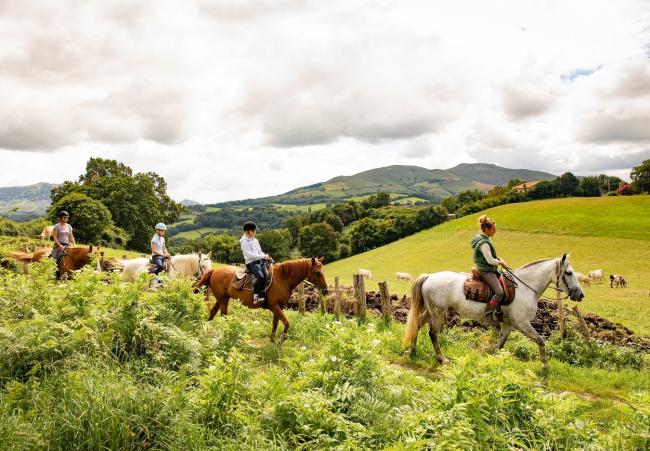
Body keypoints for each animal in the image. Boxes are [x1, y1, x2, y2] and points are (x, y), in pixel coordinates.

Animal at [190, 256, 326, 340]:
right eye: (317, 272)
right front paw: (283, 339)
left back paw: (208, 329)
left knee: (212, 312)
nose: (325, 290)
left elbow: (276, 323)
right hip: (223, 300)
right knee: (223, 317)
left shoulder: (279, 306)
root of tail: (214, 270)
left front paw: (273, 340)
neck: (282, 279)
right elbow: (286, 322)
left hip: (221, 299)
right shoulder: (273, 306)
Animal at [402, 254, 584, 370]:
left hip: (431, 312)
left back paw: (411, 351)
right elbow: (540, 340)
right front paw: (545, 366)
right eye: (569, 273)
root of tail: (429, 277)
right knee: (433, 334)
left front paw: (493, 362)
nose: (581, 295)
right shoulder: (522, 323)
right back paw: (442, 359)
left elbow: (499, 345)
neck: (525, 288)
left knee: (417, 325)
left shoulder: (509, 324)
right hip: (438, 313)